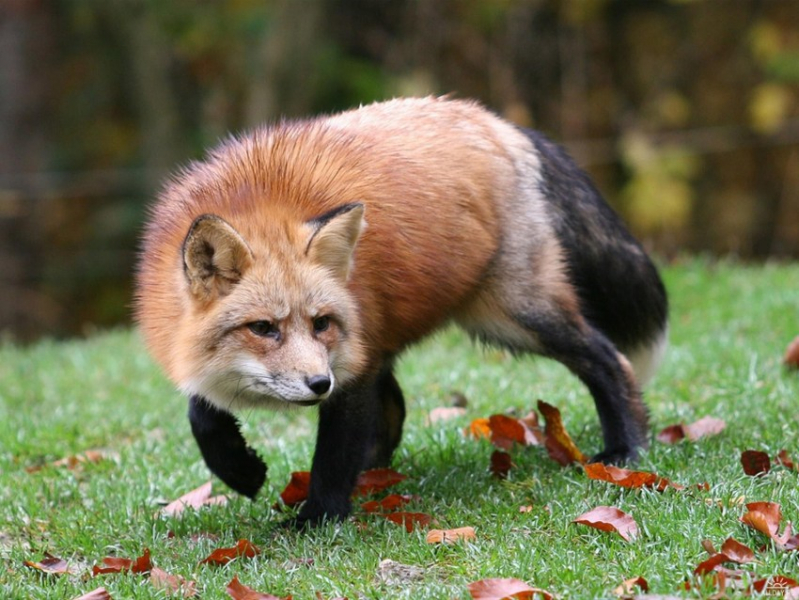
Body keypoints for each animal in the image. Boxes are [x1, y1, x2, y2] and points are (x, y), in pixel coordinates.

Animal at [138, 96, 668, 528]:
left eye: (321, 323)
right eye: (263, 328)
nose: (318, 384)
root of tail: (502, 124)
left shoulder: (351, 366)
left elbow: (334, 456)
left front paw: (317, 518)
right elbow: (201, 413)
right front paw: (240, 469)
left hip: (515, 315)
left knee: (608, 359)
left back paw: (625, 447)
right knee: (393, 412)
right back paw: (378, 479)